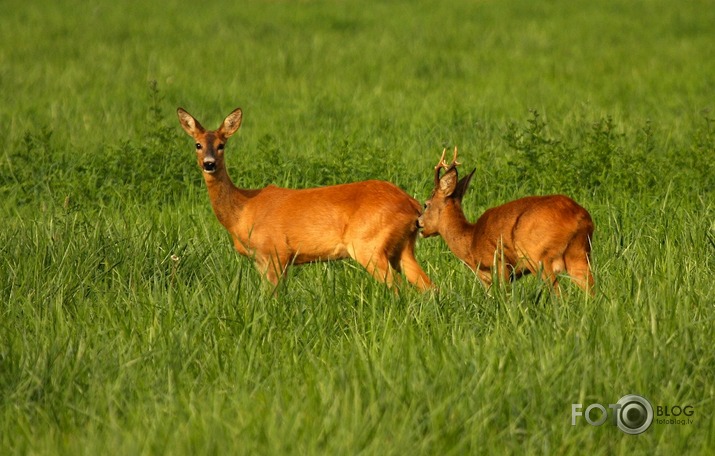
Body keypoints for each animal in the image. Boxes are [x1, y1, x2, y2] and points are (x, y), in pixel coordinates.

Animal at [416, 148, 596, 294]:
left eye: (426, 204)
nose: (418, 222)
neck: (470, 240)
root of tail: (580, 217)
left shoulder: (499, 264)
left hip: (537, 255)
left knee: (559, 295)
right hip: (579, 253)